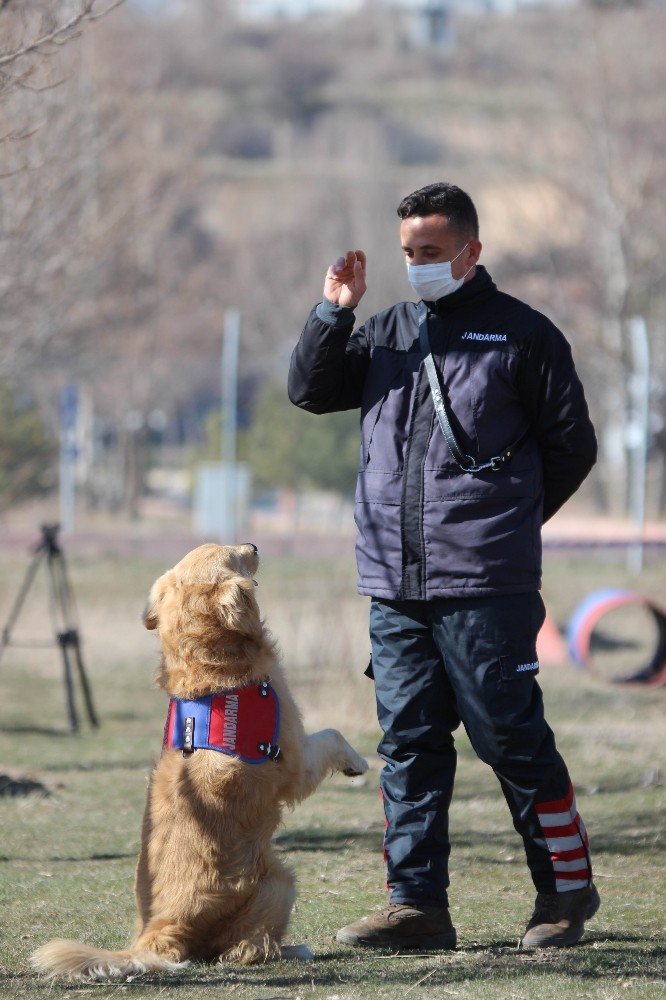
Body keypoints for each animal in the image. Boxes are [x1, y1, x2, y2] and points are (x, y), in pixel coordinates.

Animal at [32, 544, 368, 980]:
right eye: (236, 556)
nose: (254, 545)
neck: (209, 671)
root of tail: (159, 932)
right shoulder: (294, 761)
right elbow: (332, 734)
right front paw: (357, 762)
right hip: (280, 881)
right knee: (244, 949)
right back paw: (292, 949)